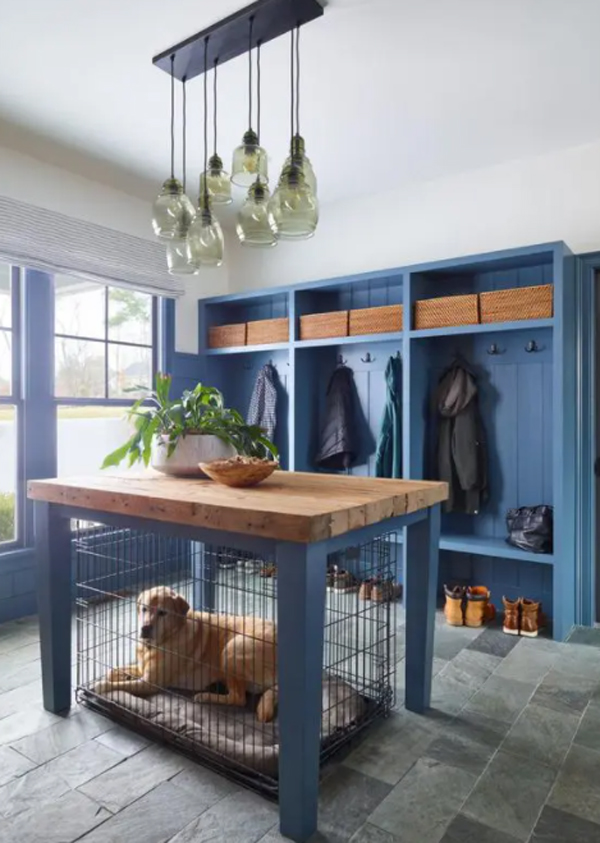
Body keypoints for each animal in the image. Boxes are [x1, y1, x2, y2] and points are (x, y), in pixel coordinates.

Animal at [94, 592, 278, 724]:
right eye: (144, 609)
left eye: (162, 613)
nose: (145, 628)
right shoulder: (141, 668)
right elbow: (112, 671)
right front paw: (121, 675)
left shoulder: (150, 683)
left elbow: (117, 686)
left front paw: (102, 685)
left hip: (232, 648)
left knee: (238, 698)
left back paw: (205, 696)